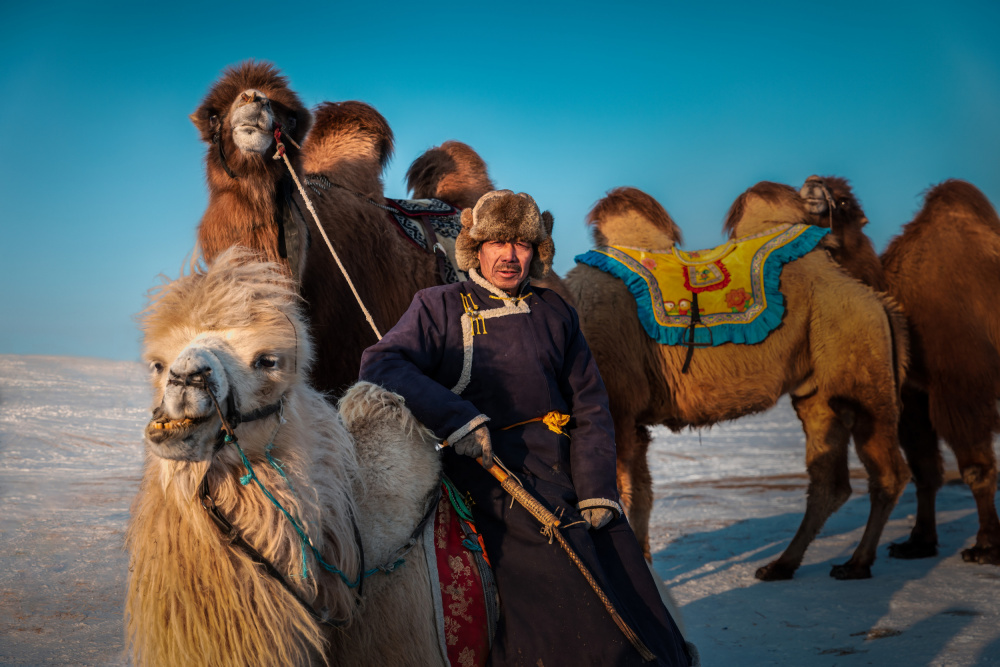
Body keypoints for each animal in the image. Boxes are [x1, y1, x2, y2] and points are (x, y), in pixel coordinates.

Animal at [568, 185, 912, 580]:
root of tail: (873, 297)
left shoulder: (619, 407)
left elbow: (622, 495)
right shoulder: (633, 421)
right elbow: (641, 493)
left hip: (862, 367)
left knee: (889, 471)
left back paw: (857, 563)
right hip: (817, 390)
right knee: (830, 478)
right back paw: (781, 565)